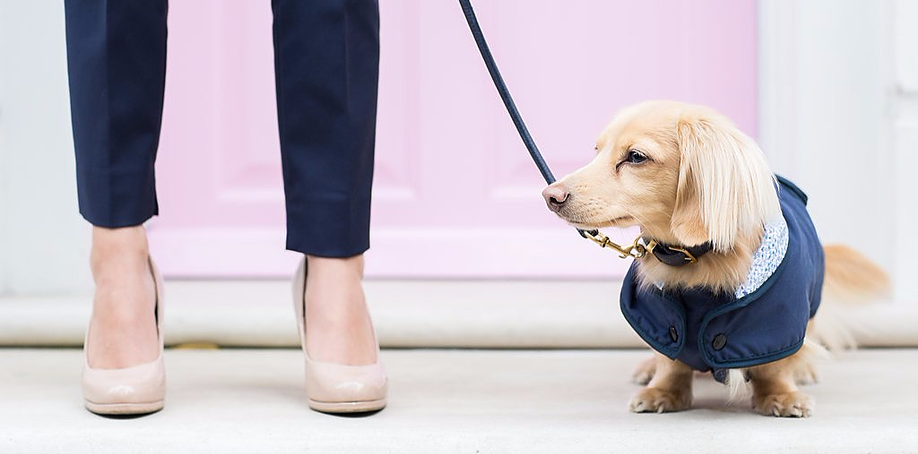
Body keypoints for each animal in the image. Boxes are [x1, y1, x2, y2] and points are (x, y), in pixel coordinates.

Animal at [544, 101, 888, 416]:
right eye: (597, 150)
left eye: (636, 157)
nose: (550, 196)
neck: (695, 259)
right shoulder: (660, 317)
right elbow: (670, 359)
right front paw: (663, 391)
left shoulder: (779, 320)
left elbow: (775, 366)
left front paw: (780, 395)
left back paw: (804, 367)